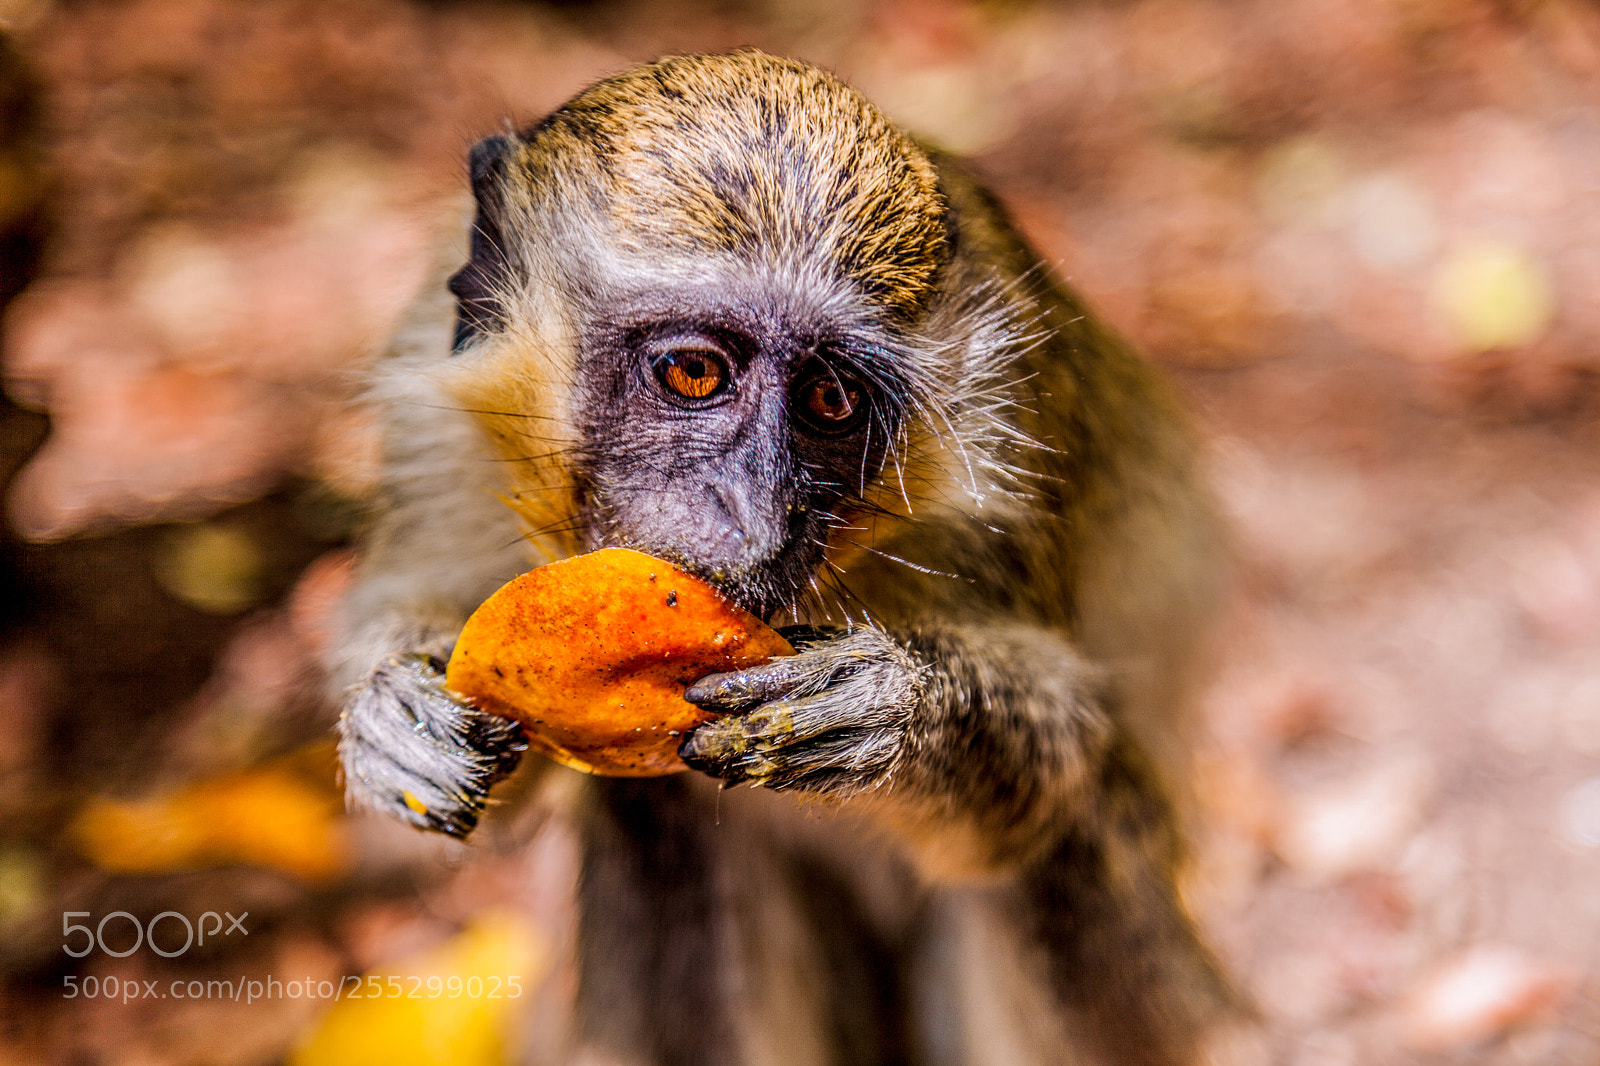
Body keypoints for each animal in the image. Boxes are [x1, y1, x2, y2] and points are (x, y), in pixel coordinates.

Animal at [328, 51, 1243, 1066]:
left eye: (831, 400)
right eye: (694, 372)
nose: (756, 509)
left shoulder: (1013, 441)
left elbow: (1056, 764)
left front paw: (898, 703)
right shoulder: (432, 421)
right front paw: (395, 718)